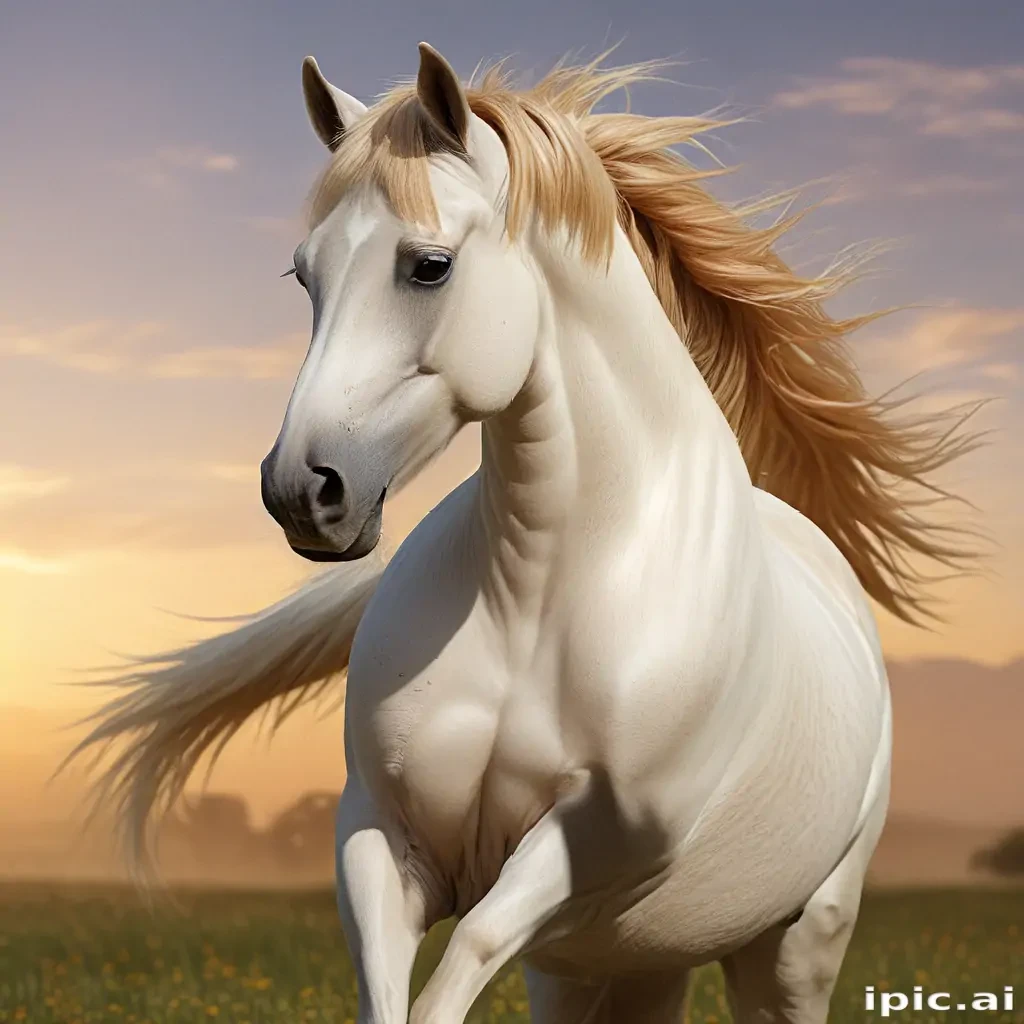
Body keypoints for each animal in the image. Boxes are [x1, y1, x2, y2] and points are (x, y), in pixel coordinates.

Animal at [74, 43, 981, 1024]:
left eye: (429, 266)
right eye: (303, 275)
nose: (301, 493)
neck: (539, 590)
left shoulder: (591, 854)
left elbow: (465, 955)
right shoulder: (380, 839)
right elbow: (390, 995)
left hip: (793, 942)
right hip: (626, 965)